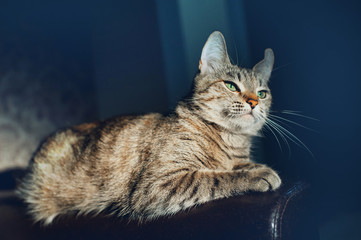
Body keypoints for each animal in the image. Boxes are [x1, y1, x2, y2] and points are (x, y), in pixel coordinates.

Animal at [17, 31, 282, 225]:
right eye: (230, 85)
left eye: (262, 93)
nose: (253, 102)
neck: (230, 140)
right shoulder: (158, 184)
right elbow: (215, 177)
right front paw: (258, 175)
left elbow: (237, 166)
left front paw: (257, 167)